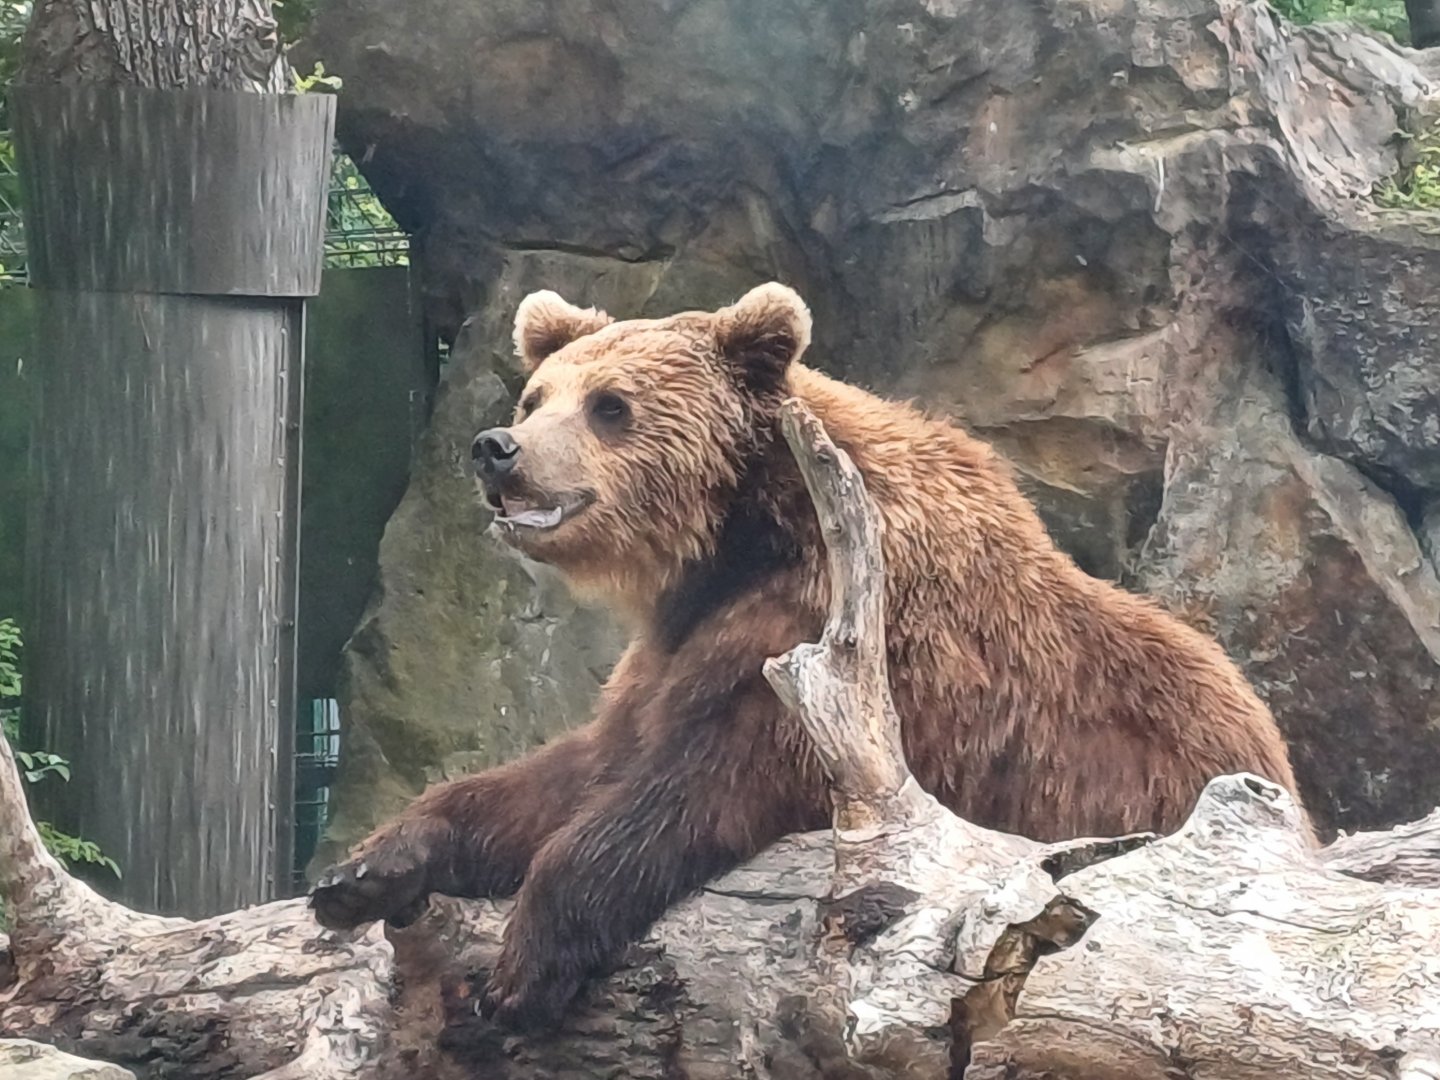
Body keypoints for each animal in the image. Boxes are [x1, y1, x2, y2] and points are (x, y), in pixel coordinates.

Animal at [310, 282, 1306, 1030]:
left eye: (611, 406)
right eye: (536, 396)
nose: (498, 448)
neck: (741, 537)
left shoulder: (838, 648)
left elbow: (693, 787)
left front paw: (520, 969)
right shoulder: (677, 649)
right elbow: (577, 768)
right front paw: (364, 869)